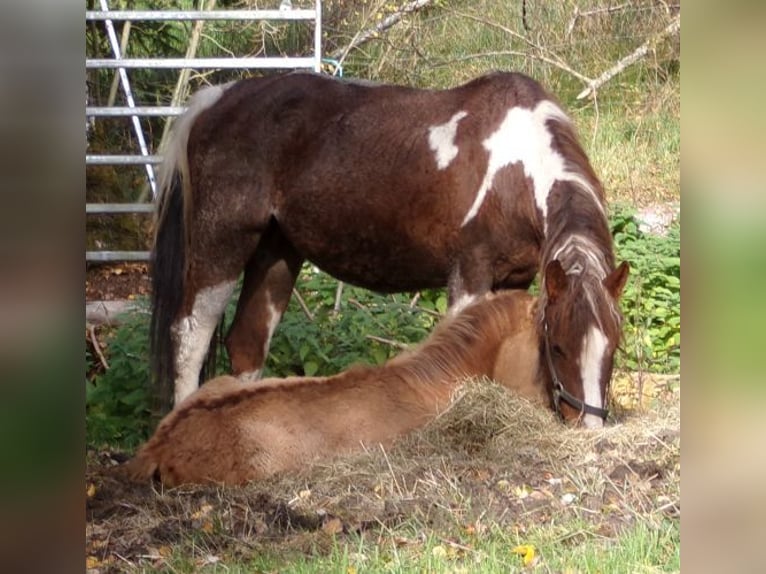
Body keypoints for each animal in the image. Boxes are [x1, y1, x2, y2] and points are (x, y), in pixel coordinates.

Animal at [150, 70, 629, 427]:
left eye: (612, 347)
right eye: (559, 347)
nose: (588, 425)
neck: (514, 169)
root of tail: (216, 98)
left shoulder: (518, 277)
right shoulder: (470, 273)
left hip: (277, 251)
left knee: (248, 343)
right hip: (222, 243)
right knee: (189, 335)